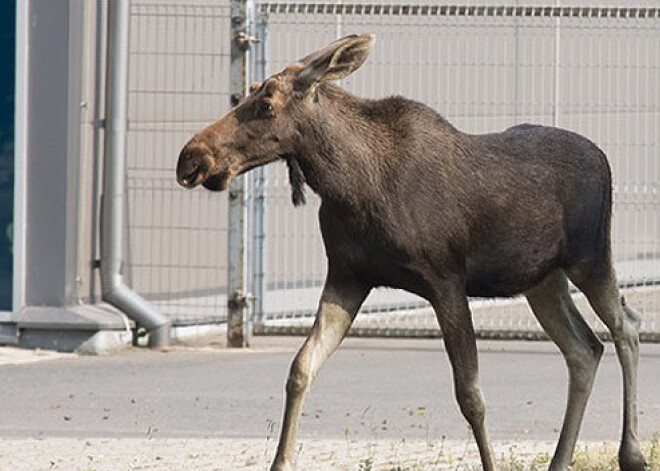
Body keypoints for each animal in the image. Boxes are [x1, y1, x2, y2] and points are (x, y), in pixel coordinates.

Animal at [175, 34, 644, 471]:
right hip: (542, 279)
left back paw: (632, 453)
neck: (351, 185)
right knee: (584, 348)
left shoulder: (446, 281)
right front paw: (281, 461)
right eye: (249, 90)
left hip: (591, 258)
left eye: (267, 104)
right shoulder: (347, 276)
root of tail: (604, 159)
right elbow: (301, 367)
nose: (190, 158)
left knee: (627, 326)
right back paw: (561, 458)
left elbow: (471, 395)